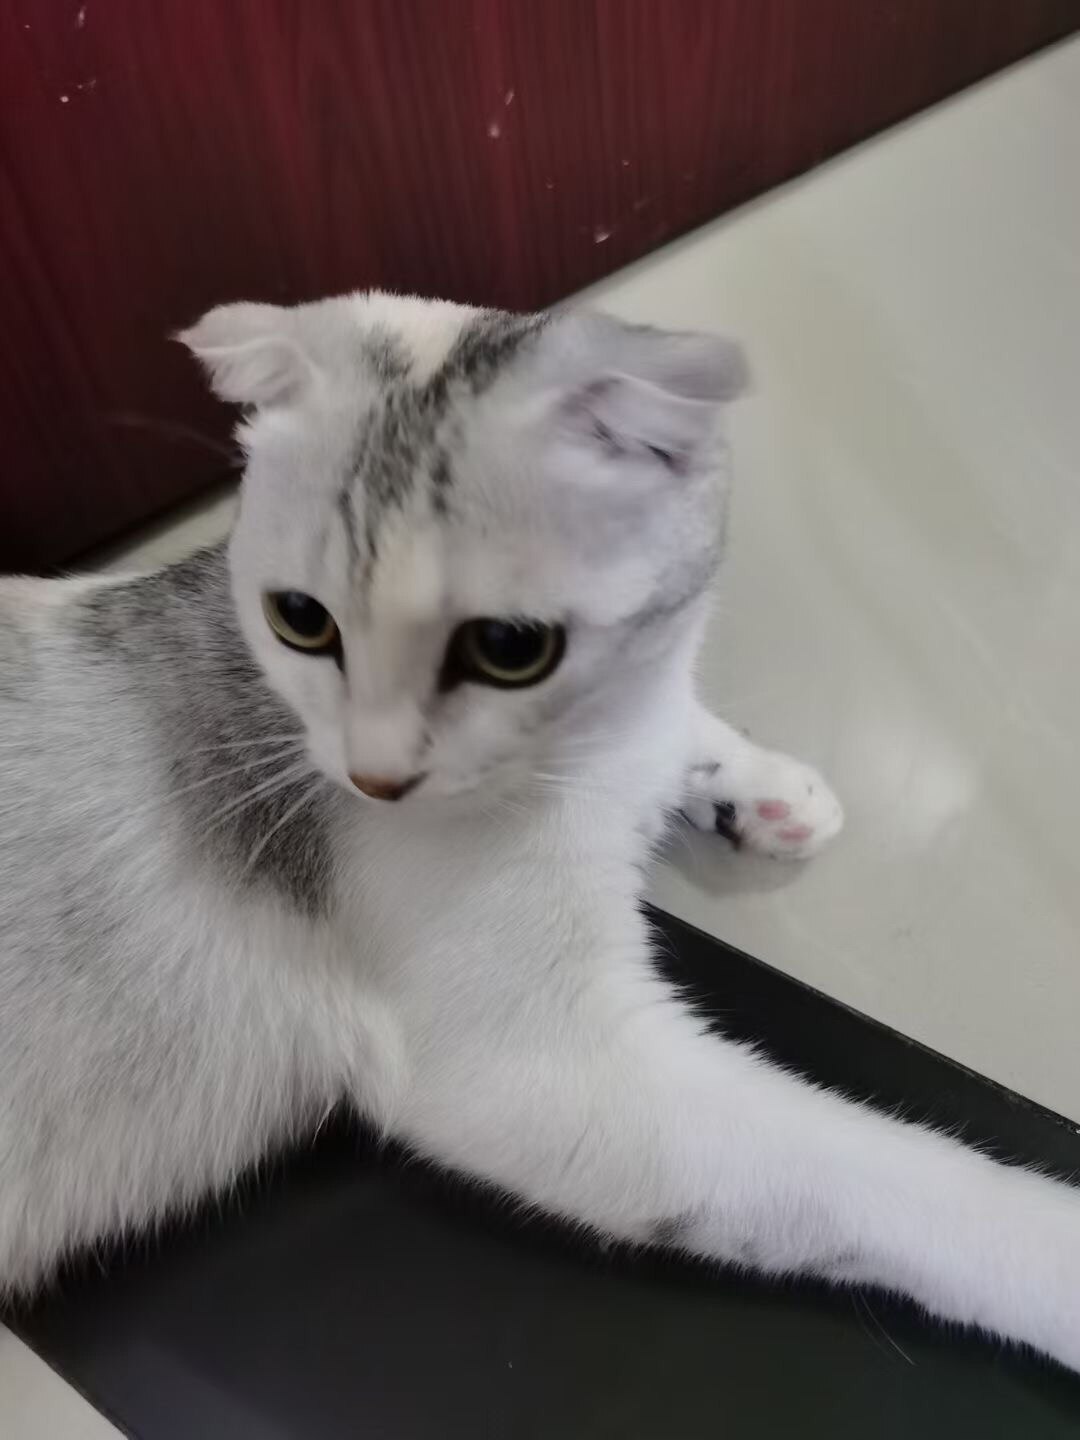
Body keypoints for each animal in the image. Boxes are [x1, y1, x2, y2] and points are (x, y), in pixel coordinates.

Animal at [0, 292, 1077, 1374]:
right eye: (300, 618)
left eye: (509, 648)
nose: (373, 777)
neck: (584, 747)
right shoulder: (540, 1064)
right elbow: (877, 1174)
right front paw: (1052, 1255)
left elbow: (677, 723)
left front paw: (761, 785)